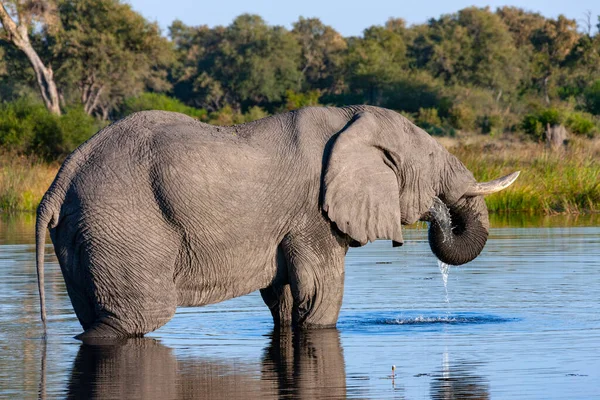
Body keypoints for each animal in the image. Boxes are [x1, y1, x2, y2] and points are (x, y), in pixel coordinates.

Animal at [35, 105, 516, 338]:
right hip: (125, 224)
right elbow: (321, 296)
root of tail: (59, 181)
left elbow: (283, 299)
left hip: (86, 231)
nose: (439, 214)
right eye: (432, 158)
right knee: (135, 319)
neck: (350, 119)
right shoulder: (312, 214)